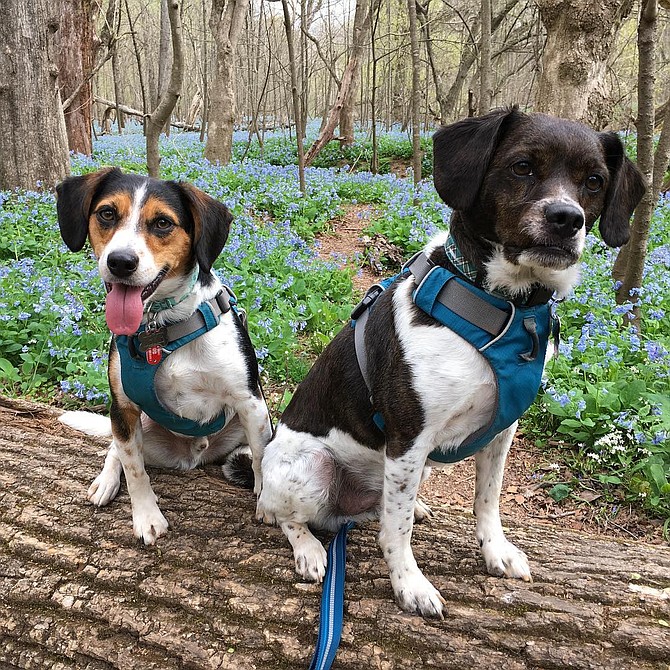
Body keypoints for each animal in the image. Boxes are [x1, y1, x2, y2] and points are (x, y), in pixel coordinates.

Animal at [258, 109, 644, 620]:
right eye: (522, 167)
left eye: (595, 181)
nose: (567, 218)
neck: (506, 306)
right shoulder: (409, 435)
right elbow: (396, 533)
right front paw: (409, 584)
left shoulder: (501, 430)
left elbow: (488, 500)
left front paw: (495, 550)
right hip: (308, 469)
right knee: (291, 517)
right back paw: (309, 549)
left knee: (383, 505)